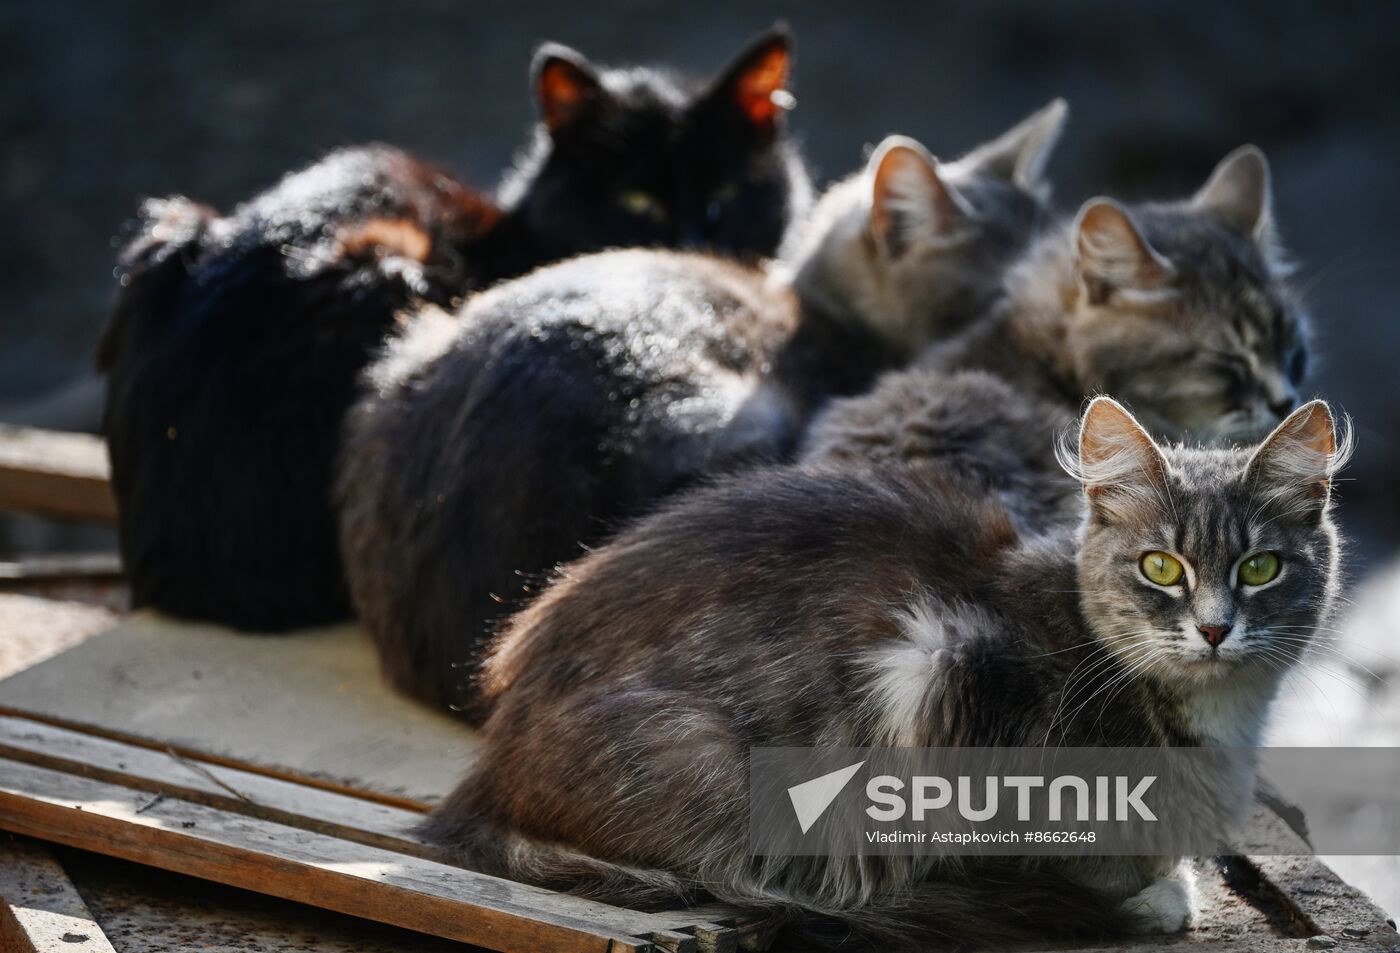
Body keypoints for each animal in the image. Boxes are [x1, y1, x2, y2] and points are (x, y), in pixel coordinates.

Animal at [95, 26, 812, 626]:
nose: (692, 246)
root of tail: (167, 561)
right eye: (636, 200)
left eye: (728, 195)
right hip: (389, 270)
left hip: (169, 228)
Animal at [422, 394, 1344, 946]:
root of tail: (488, 771)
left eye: (1261, 567)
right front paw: (1155, 890)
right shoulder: (947, 683)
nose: (1217, 627)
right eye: (1161, 567)